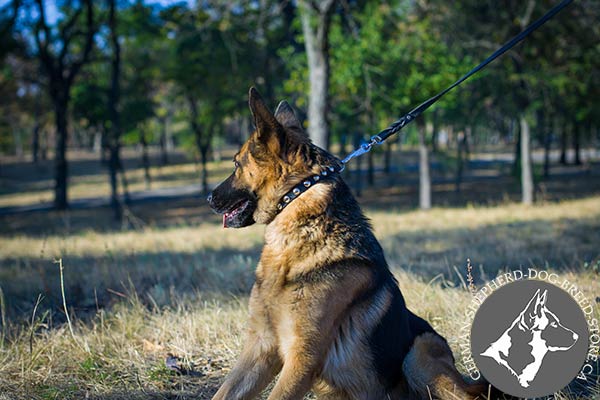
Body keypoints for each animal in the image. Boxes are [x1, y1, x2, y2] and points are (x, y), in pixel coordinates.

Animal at [209, 88, 494, 400]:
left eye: (237, 164)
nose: (209, 198)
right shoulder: (260, 348)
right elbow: (222, 393)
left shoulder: (301, 358)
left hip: (419, 352)